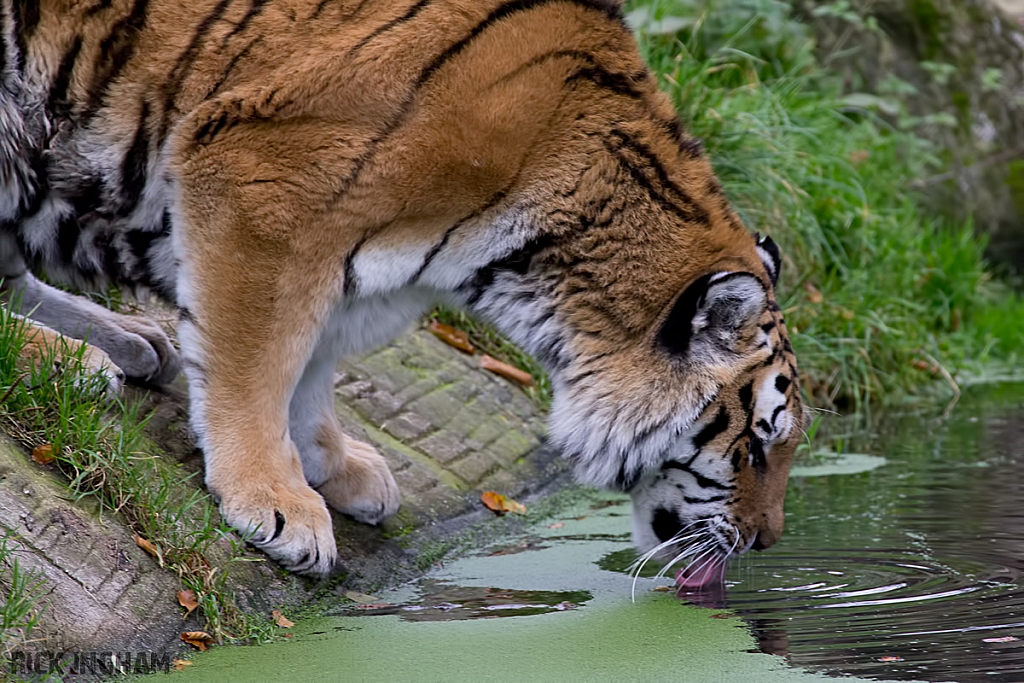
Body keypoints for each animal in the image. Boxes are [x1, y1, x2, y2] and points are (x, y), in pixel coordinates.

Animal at [0, 0, 798, 589]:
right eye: (757, 445)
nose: (766, 543)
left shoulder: (341, 253)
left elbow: (309, 363)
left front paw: (336, 464)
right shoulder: (263, 183)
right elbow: (255, 363)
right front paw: (276, 502)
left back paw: (130, 341)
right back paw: (71, 360)